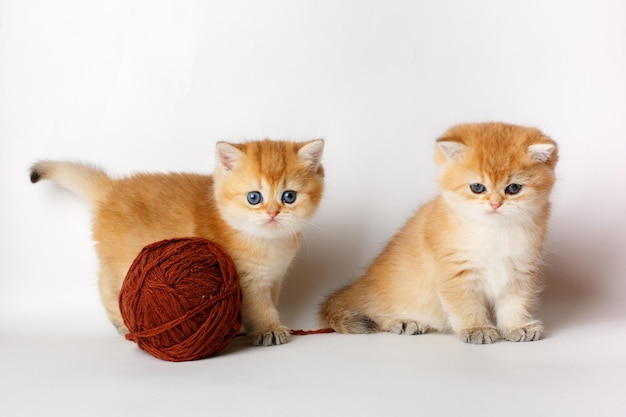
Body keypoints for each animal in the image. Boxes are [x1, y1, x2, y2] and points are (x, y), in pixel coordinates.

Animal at [29, 139, 324, 344]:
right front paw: (269, 329)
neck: (268, 243)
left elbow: (270, 301)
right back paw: (122, 323)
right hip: (123, 263)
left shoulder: (274, 278)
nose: (273, 213)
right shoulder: (247, 280)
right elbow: (260, 307)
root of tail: (111, 189)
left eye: (289, 197)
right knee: (105, 285)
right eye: (254, 197)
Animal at [320, 122, 560, 342]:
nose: (495, 204)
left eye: (514, 188)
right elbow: (465, 304)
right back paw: (403, 321)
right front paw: (477, 328)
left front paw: (518, 326)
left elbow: (515, 303)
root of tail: (360, 283)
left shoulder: (520, 269)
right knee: (373, 312)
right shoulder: (455, 271)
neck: (493, 230)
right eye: (477, 187)